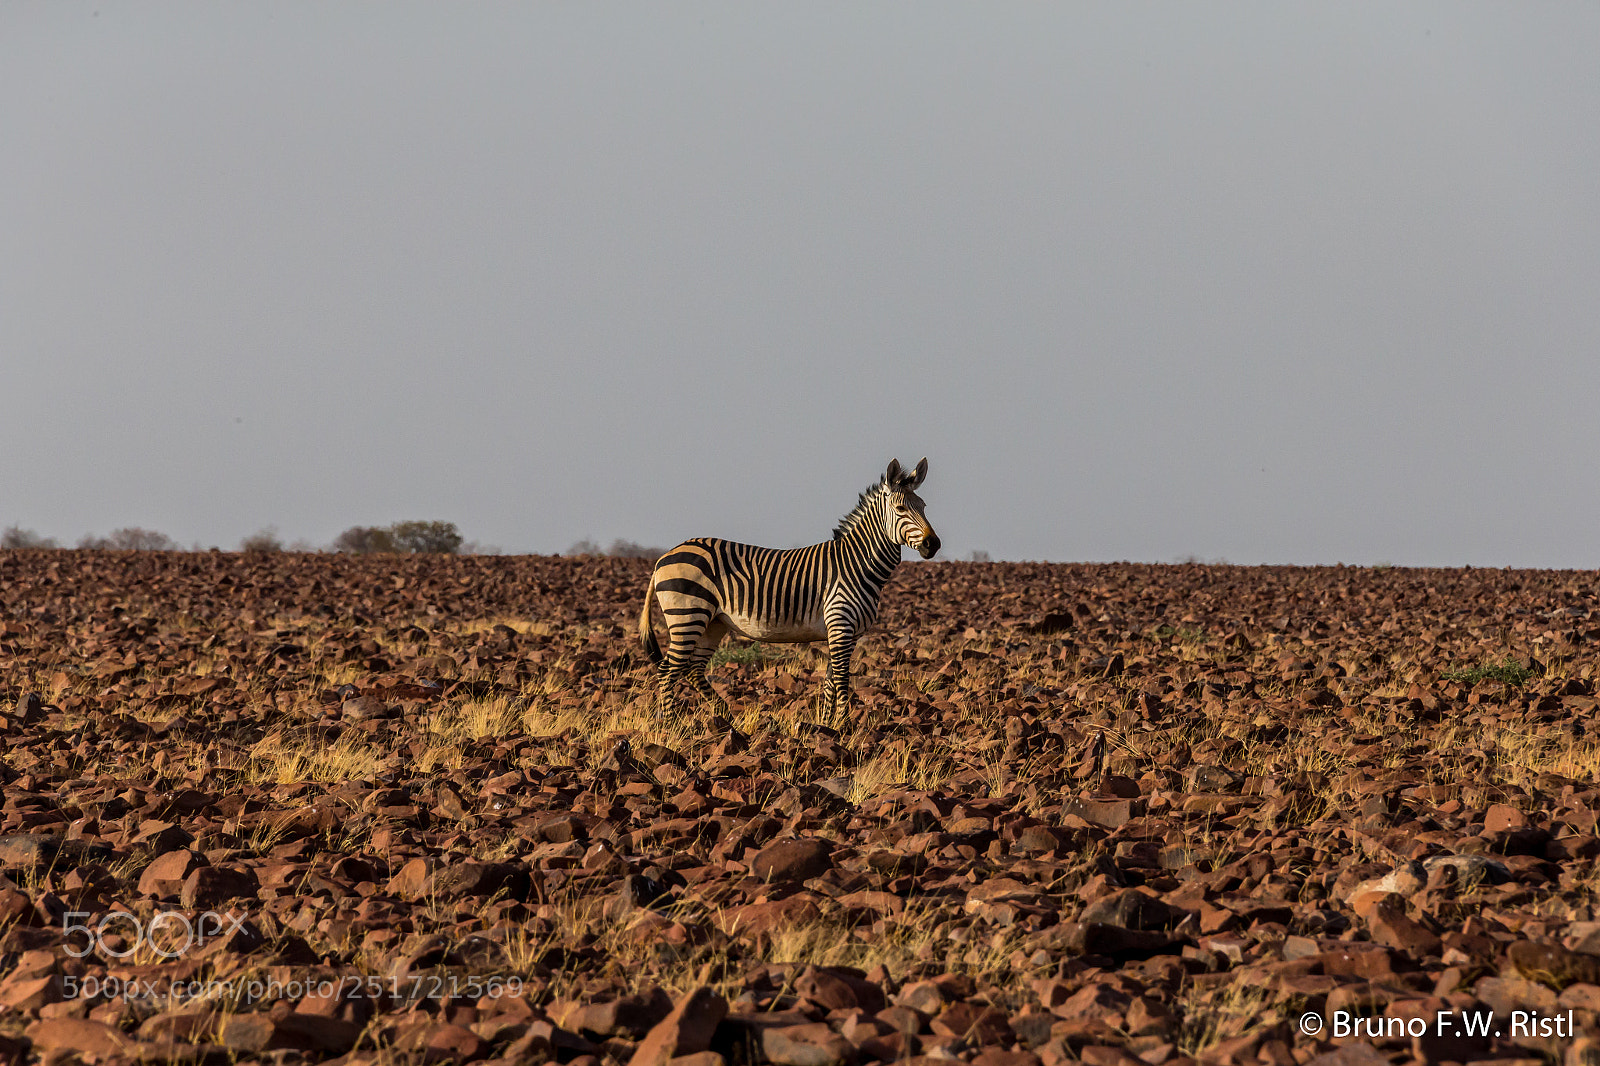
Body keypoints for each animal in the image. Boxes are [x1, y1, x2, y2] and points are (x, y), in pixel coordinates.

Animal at [638, 458, 941, 716]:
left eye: (925, 507)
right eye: (901, 509)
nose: (933, 544)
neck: (857, 564)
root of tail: (665, 556)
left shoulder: (845, 632)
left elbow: (831, 682)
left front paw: (827, 724)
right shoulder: (841, 625)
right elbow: (842, 681)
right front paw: (845, 728)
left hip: (713, 622)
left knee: (692, 669)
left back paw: (724, 716)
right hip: (687, 616)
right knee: (668, 670)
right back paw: (671, 724)